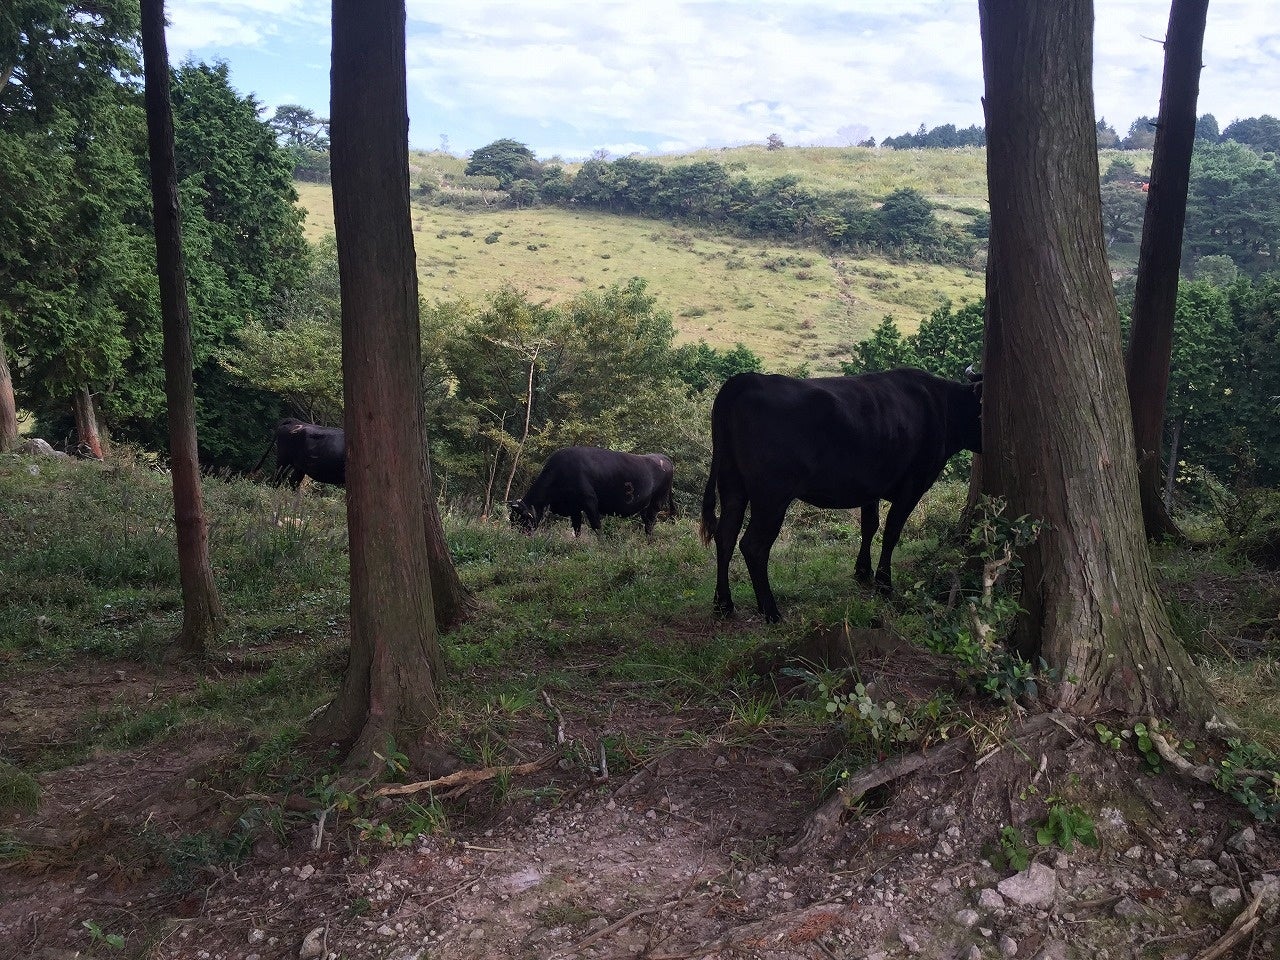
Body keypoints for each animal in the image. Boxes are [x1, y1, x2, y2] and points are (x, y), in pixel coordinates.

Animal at [701, 368, 977, 624]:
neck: (942, 405)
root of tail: (746, 378)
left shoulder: (871, 486)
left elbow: (870, 526)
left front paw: (863, 572)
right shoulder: (913, 484)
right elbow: (891, 532)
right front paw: (884, 584)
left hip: (732, 485)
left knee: (725, 535)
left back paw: (723, 604)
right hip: (772, 495)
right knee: (753, 546)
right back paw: (771, 611)